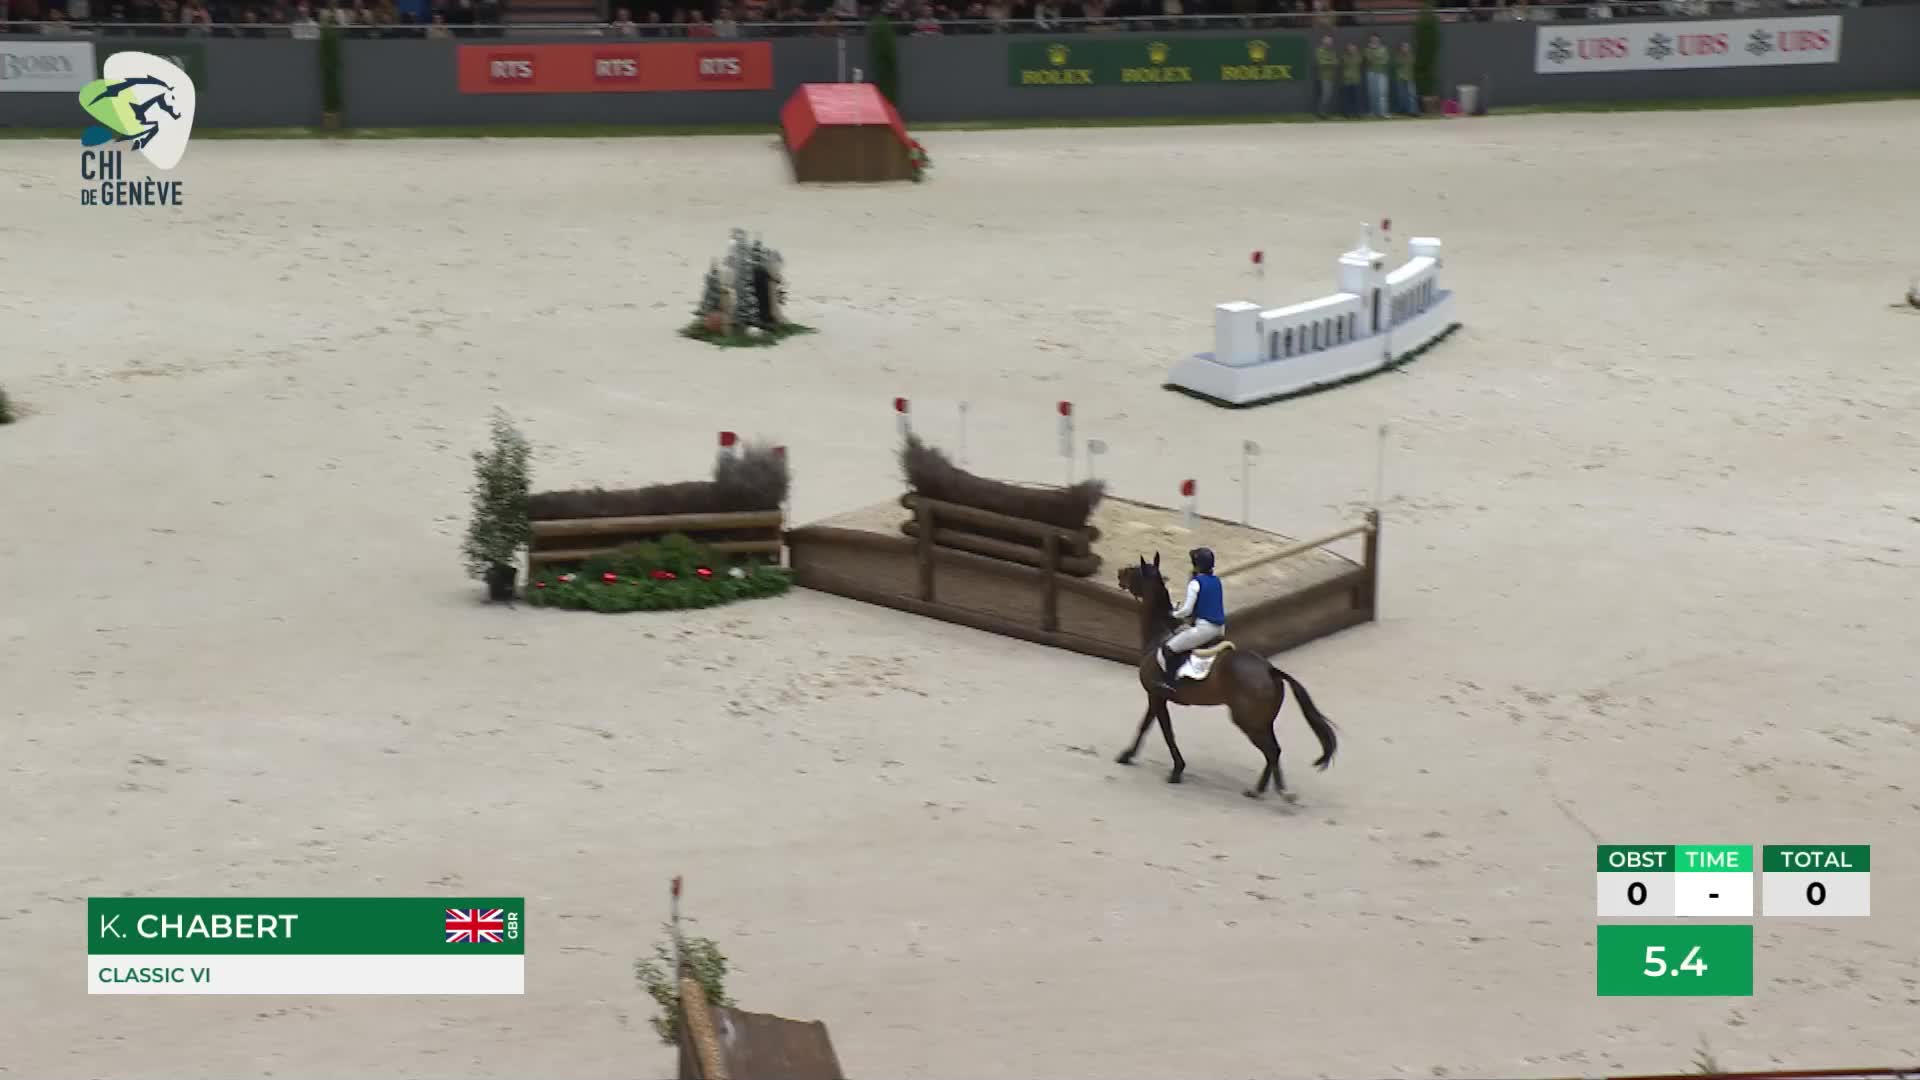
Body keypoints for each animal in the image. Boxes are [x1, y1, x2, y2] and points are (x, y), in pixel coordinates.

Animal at [1114, 553, 1338, 800]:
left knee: (1271, 751)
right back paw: (1267, 789)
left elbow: (1164, 732)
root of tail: (1270, 670)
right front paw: (1129, 755)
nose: (1119, 573)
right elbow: (1147, 726)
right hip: (1262, 722)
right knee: (1274, 750)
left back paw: (1267, 790)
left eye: (1135, 570)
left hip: (1247, 721)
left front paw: (1175, 770)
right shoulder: (1157, 698)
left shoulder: (1156, 695)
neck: (1159, 635)